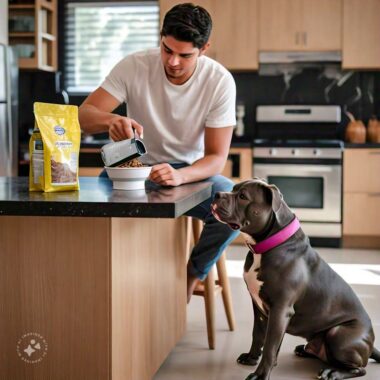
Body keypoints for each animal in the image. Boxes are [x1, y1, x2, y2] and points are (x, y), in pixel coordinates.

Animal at [211, 179, 380, 380]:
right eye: (233, 189)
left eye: (243, 196)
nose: (217, 195)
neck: (267, 245)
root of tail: (371, 344)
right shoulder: (259, 308)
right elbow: (258, 335)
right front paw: (251, 357)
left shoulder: (280, 310)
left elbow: (270, 346)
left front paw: (260, 374)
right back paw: (305, 350)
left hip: (337, 333)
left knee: (359, 368)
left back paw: (332, 372)